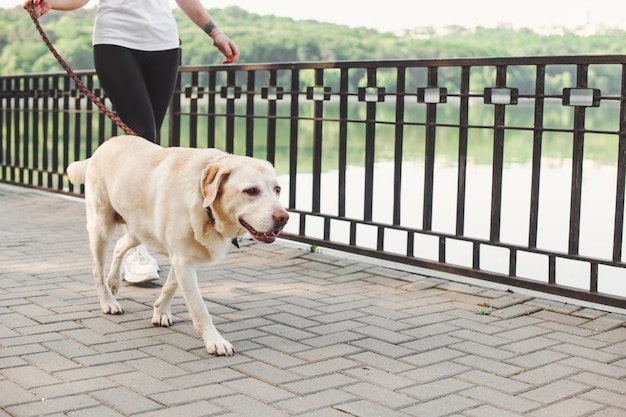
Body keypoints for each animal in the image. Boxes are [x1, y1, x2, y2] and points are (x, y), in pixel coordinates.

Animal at [64, 136, 288, 354]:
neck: (204, 205)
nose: (284, 217)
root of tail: (104, 145)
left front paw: (161, 311)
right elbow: (199, 307)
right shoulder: (182, 260)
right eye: (251, 191)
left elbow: (171, 286)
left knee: (120, 245)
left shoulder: (182, 257)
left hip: (139, 228)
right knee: (97, 268)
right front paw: (215, 341)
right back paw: (108, 301)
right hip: (101, 226)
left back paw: (114, 281)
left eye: (277, 189)